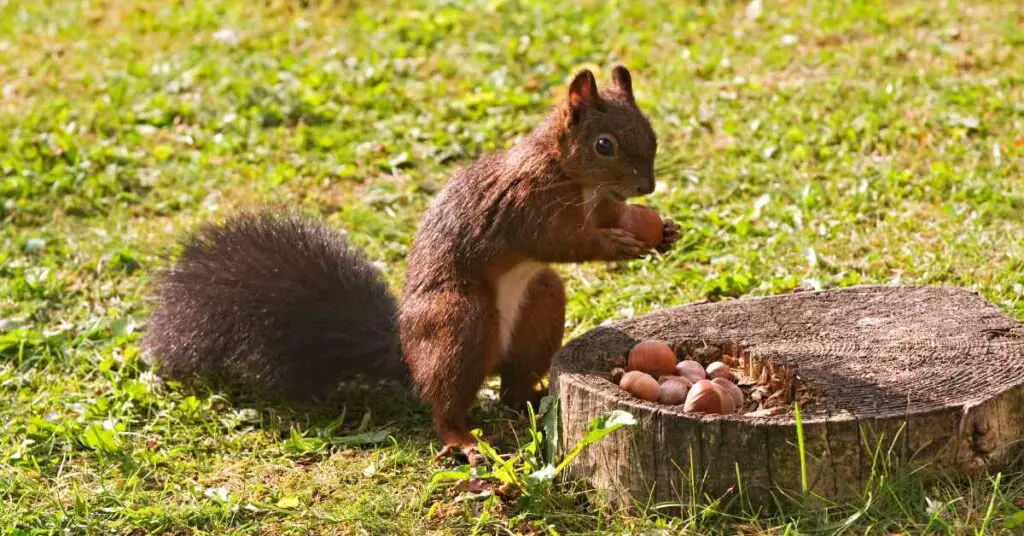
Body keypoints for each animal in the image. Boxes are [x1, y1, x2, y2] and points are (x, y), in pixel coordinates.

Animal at [142, 65, 678, 464]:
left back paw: (532, 395)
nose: (647, 186)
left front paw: (663, 231)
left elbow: (608, 218)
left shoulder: (597, 204)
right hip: (459, 318)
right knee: (444, 405)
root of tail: (405, 350)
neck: (568, 171)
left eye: (650, 132)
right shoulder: (527, 206)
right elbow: (561, 241)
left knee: (511, 384)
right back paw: (462, 440)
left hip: (540, 304)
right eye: (604, 144)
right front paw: (619, 245)